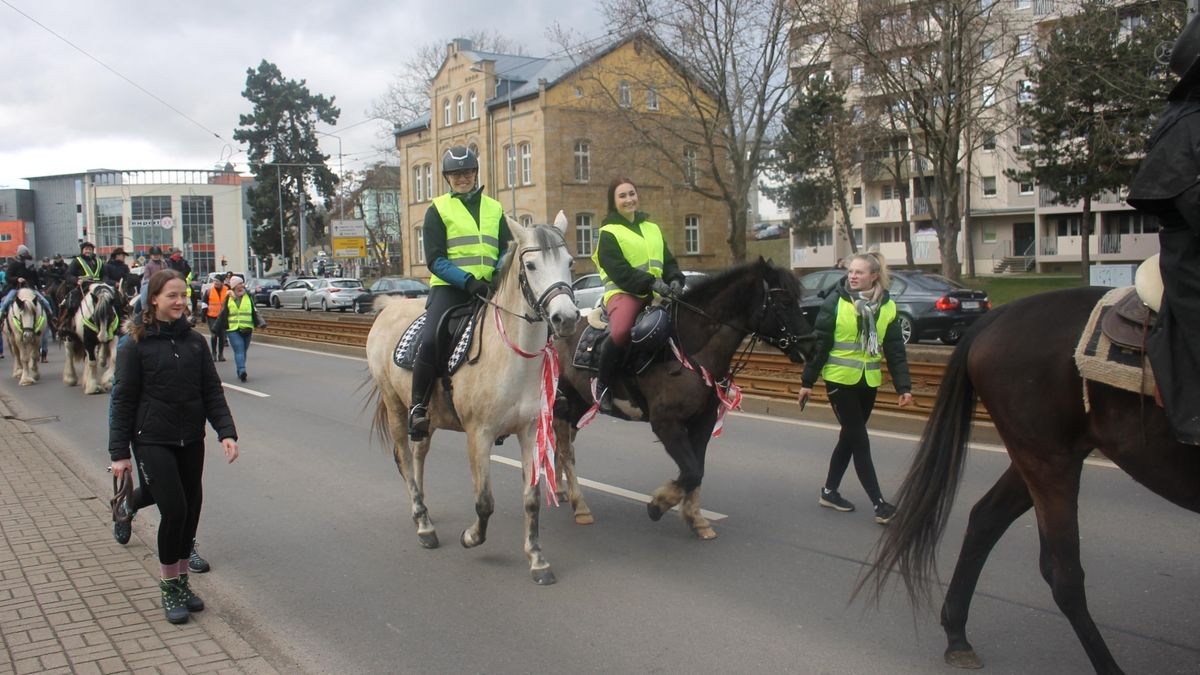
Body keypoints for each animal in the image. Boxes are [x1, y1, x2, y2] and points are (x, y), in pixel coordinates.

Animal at [552, 257, 816, 535]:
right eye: (784, 302)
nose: (812, 345)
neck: (686, 349)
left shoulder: (703, 422)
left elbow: (697, 470)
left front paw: (695, 517)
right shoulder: (666, 424)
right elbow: (690, 472)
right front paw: (659, 504)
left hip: (579, 405)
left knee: (563, 448)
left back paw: (561, 491)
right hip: (564, 404)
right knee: (565, 452)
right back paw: (580, 505)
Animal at [859, 285, 1195, 667]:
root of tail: (996, 316)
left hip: (1036, 456)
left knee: (986, 518)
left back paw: (957, 635)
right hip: (1047, 458)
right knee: (1063, 574)